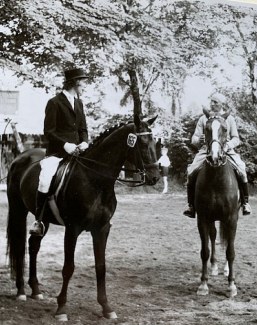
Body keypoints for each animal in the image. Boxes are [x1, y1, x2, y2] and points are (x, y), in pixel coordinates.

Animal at [6, 114, 158, 318]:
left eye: (154, 142)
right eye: (142, 143)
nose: (155, 177)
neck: (95, 180)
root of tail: (20, 158)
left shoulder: (102, 229)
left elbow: (101, 266)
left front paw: (106, 307)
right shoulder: (72, 229)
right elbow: (68, 268)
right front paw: (61, 308)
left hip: (43, 219)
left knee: (33, 245)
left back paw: (35, 290)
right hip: (18, 210)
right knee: (20, 245)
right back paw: (21, 291)